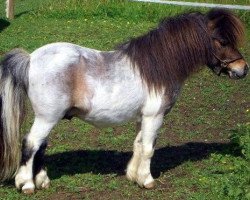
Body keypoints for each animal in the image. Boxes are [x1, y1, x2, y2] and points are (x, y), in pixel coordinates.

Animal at [0, 8, 248, 194]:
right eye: (222, 41)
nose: (243, 69)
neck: (158, 67)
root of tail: (31, 58)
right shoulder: (154, 117)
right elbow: (148, 149)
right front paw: (147, 180)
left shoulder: (143, 118)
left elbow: (138, 144)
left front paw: (133, 176)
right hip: (47, 118)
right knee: (31, 144)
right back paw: (26, 184)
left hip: (50, 118)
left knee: (40, 146)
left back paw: (42, 182)